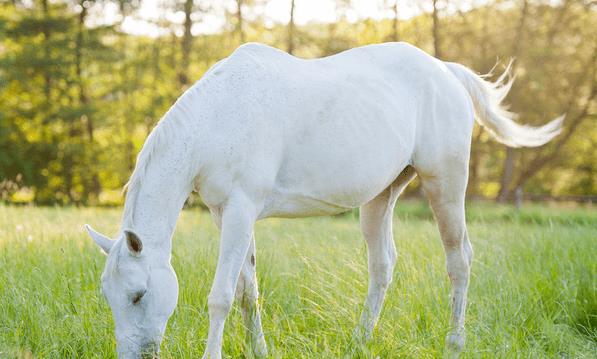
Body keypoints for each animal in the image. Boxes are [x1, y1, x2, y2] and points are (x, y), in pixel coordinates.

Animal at [86, 41, 560, 358]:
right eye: (109, 296)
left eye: (138, 295)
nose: (133, 356)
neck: (219, 118)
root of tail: (446, 70)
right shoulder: (227, 215)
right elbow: (247, 291)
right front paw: (260, 351)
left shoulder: (240, 211)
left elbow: (221, 296)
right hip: (380, 198)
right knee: (382, 266)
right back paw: (359, 341)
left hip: (445, 182)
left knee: (459, 260)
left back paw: (453, 344)